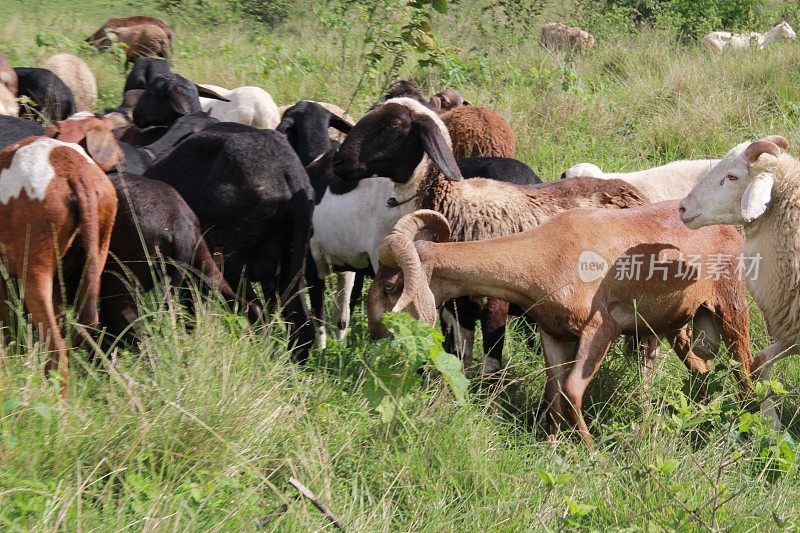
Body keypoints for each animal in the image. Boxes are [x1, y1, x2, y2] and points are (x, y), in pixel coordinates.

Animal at [372, 206, 752, 446]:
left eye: (390, 285)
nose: (375, 330)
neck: (547, 252)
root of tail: (729, 227)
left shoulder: (600, 329)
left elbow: (571, 391)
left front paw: (594, 454)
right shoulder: (554, 335)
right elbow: (554, 392)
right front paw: (552, 447)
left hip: (730, 305)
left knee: (744, 365)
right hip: (669, 328)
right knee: (691, 369)